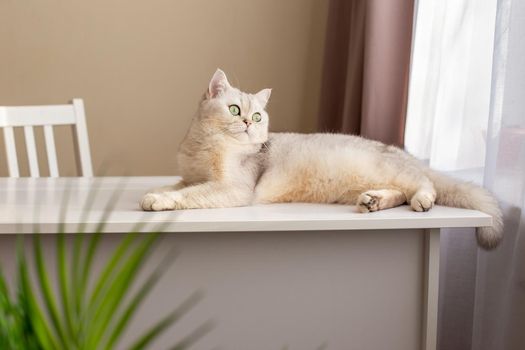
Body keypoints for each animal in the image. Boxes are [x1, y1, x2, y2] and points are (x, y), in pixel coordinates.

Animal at [141, 68, 502, 249]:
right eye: (233, 110)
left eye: (257, 116)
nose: (247, 123)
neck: (205, 146)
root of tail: (406, 154)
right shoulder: (190, 175)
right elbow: (181, 185)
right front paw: (159, 192)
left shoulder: (233, 187)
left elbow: (191, 194)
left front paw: (157, 200)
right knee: (399, 193)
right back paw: (373, 201)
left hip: (399, 171)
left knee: (425, 184)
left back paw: (422, 200)